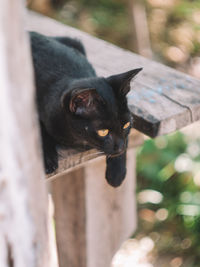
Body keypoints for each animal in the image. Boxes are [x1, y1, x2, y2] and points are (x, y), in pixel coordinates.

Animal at [30, 31, 142, 187]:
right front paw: (47, 159)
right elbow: (39, 129)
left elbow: (126, 139)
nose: (120, 147)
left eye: (126, 125)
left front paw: (117, 173)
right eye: (103, 132)